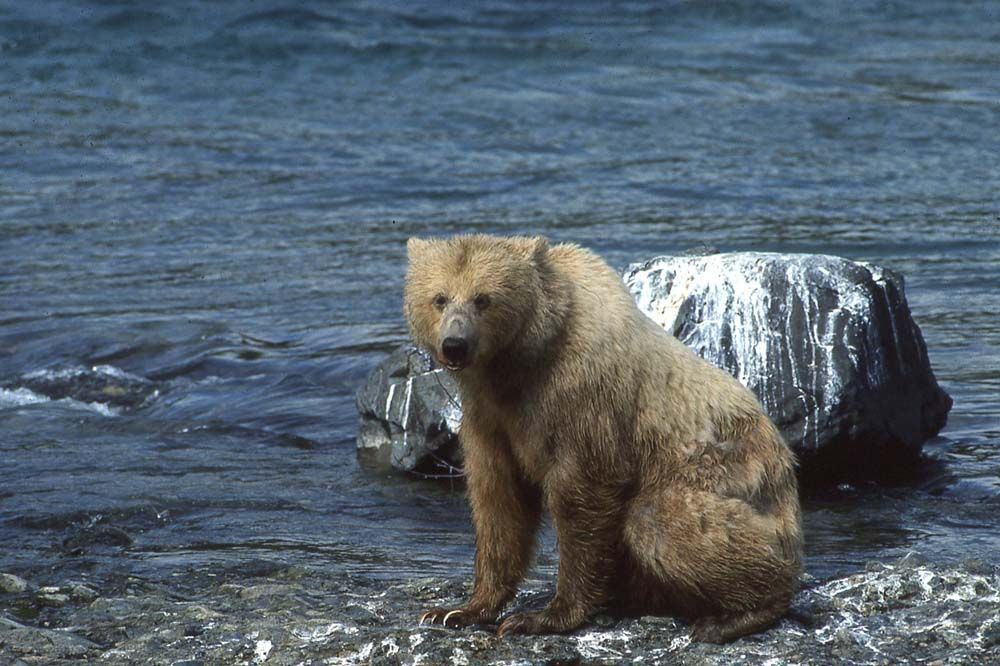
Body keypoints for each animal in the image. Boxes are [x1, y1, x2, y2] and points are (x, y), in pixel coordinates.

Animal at [403, 234, 803, 643]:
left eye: (483, 298)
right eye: (440, 297)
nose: (455, 344)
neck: (521, 361)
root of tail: (785, 466)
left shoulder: (585, 397)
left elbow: (583, 496)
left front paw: (542, 616)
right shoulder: (489, 415)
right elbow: (498, 498)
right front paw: (458, 610)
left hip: (726, 480)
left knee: (659, 523)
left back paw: (734, 615)